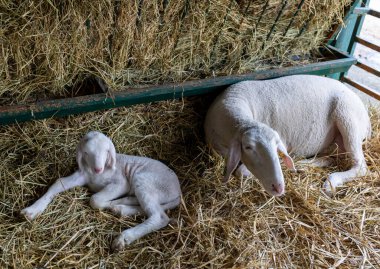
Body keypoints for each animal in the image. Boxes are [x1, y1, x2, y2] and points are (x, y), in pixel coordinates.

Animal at [20, 131, 181, 250]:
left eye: (106, 151)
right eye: (86, 152)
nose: (98, 169)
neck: (97, 174)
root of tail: (178, 190)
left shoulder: (121, 182)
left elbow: (95, 199)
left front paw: (110, 203)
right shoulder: (83, 174)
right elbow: (58, 183)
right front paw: (32, 210)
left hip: (147, 180)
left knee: (159, 216)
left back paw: (123, 236)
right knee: (150, 208)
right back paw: (122, 209)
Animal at [205, 74, 372, 195]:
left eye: (275, 146)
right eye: (248, 147)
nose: (278, 187)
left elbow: (241, 172)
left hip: (348, 119)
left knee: (361, 166)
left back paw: (329, 183)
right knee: (332, 157)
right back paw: (314, 162)